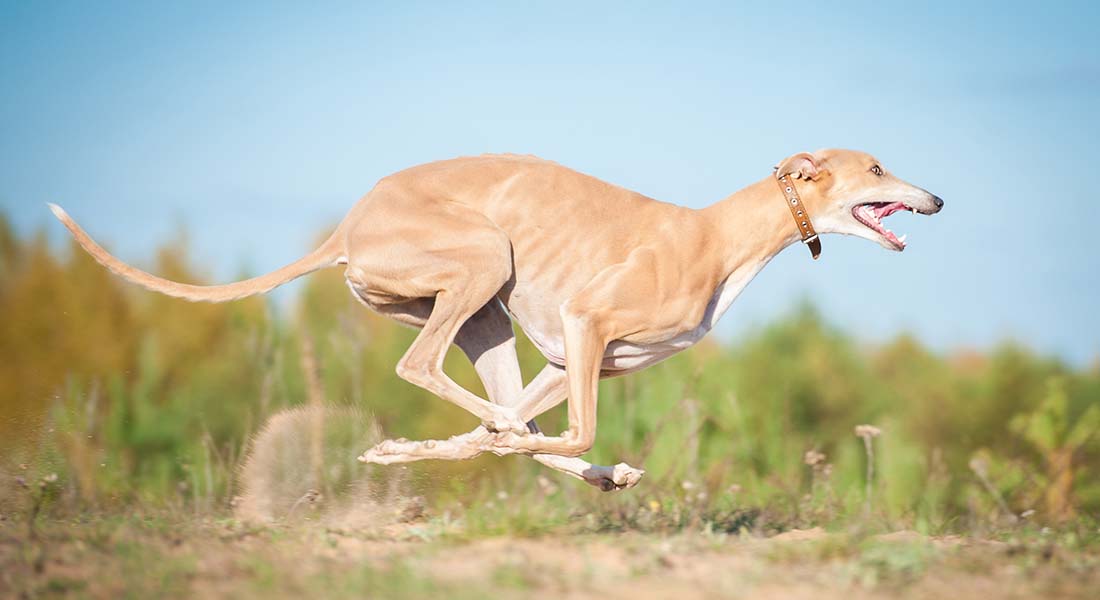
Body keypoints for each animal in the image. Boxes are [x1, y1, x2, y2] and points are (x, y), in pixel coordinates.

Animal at [51, 149, 941, 491]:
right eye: (876, 168)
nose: (935, 197)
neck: (718, 235)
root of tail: (348, 227)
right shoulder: (587, 321)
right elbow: (572, 429)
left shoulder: (578, 356)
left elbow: (542, 429)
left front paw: (418, 451)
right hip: (484, 259)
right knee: (431, 374)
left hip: (486, 314)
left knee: (499, 413)